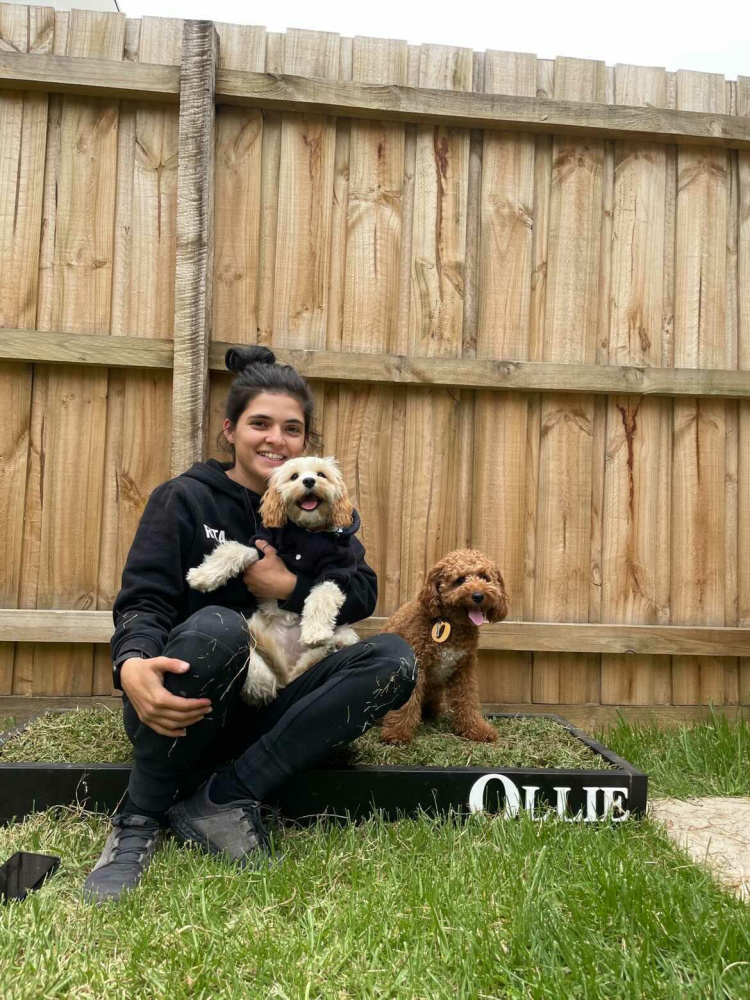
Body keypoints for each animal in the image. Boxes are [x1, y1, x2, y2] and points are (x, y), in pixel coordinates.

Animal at [189, 458, 362, 704]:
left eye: (321, 474)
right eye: (294, 476)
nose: (309, 481)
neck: (306, 532)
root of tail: (286, 672)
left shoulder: (336, 571)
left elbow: (322, 596)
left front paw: (315, 632)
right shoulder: (261, 545)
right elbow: (234, 550)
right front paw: (202, 576)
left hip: (342, 632)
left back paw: (329, 646)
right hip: (256, 652)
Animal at [382, 552, 512, 748]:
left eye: (484, 577)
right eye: (460, 580)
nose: (479, 595)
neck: (450, 624)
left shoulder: (464, 669)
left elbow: (468, 701)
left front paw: (476, 729)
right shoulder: (416, 667)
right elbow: (407, 703)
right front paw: (397, 733)